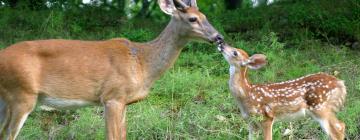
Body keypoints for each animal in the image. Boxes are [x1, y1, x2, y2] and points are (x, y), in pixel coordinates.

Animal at [0, 0, 224, 139]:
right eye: (192, 19)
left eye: (204, 15)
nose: (218, 37)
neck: (142, 62)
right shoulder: (112, 96)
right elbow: (112, 136)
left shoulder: (124, 102)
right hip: (22, 94)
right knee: (9, 134)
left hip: (7, 99)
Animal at [218, 44, 348, 140]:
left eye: (235, 52)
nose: (222, 45)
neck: (246, 94)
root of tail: (340, 83)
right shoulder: (251, 121)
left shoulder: (266, 117)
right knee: (341, 126)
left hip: (321, 107)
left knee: (338, 128)